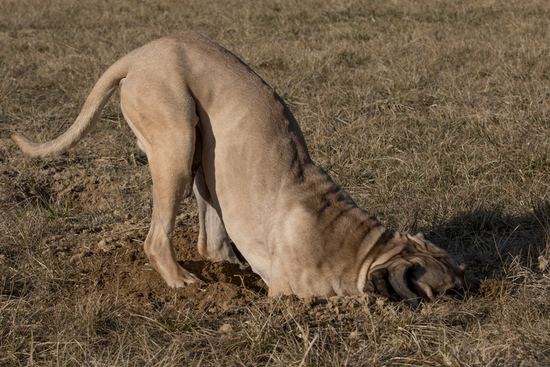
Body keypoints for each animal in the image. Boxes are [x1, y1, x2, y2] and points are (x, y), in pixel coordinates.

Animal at [10, 32, 468, 304]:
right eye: (446, 293)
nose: (475, 293)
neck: (361, 248)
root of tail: (137, 54)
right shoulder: (288, 293)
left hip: (205, 157)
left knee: (210, 241)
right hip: (175, 145)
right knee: (157, 238)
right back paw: (179, 279)